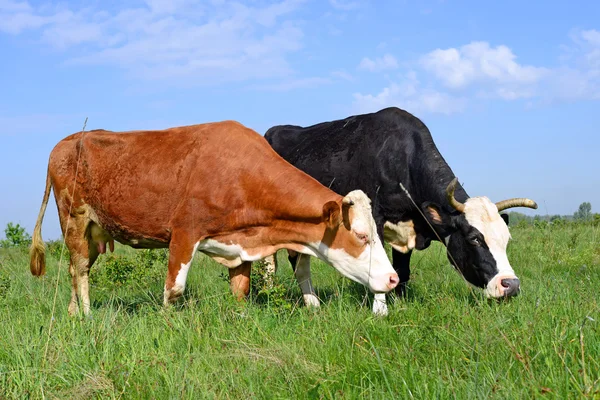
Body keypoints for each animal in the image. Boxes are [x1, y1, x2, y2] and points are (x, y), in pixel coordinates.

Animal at [30, 120, 400, 314]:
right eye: (362, 236)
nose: (394, 279)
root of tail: (67, 141)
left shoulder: (242, 245)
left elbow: (241, 289)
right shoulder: (184, 232)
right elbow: (174, 290)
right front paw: (168, 323)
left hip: (95, 231)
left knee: (77, 270)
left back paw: (74, 313)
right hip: (74, 220)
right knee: (79, 270)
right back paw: (87, 315)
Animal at [262, 108, 540, 314]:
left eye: (506, 239)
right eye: (474, 239)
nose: (511, 285)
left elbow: (401, 270)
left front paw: (400, 302)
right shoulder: (373, 218)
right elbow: (378, 263)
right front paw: (380, 311)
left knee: (298, 260)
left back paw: (312, 303)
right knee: (273, 262)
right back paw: (269, 293)